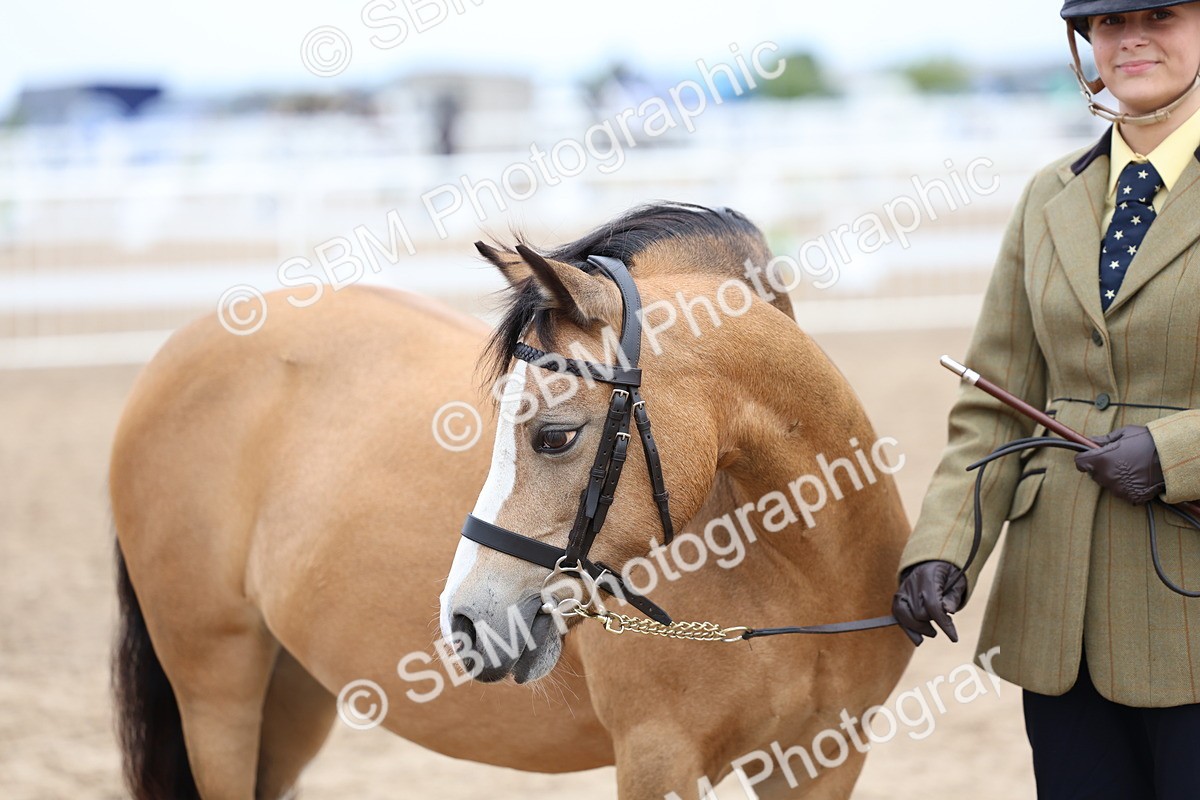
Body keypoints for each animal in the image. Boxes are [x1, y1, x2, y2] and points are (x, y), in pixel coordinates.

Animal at [110, 202, 913, 799]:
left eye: (554, 436)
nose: (466, 622)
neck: (794, 570)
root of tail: (181, 349)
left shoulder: (824, 758)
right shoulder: (658, 755)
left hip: (294, 689)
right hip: (216, 688)